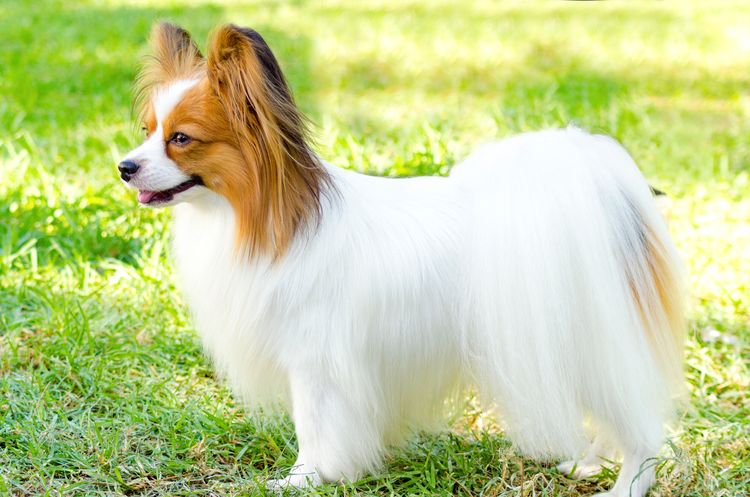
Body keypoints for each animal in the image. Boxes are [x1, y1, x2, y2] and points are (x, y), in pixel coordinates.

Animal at [119, 23, 688, 496]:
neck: (265, 217)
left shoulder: (317, 362)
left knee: (642, 431)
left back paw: (623, 487)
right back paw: (587, 464)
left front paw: (302, 480)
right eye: (147, 131)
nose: (124, 166)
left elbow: (313, 428)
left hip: (589, 346)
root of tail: (610, 197)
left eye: (181, 139)